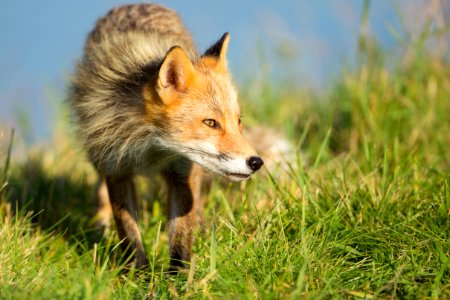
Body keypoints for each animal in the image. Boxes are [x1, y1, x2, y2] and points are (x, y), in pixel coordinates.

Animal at [69, 2, 264, 270]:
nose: (256, 162)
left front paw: (178, 277)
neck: (153, 150)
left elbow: (181, 234)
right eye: (210, 123)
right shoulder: (117, 170)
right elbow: (129, 233)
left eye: (239, 121)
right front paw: (137, 272)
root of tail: (136, 5)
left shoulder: (181, 172)